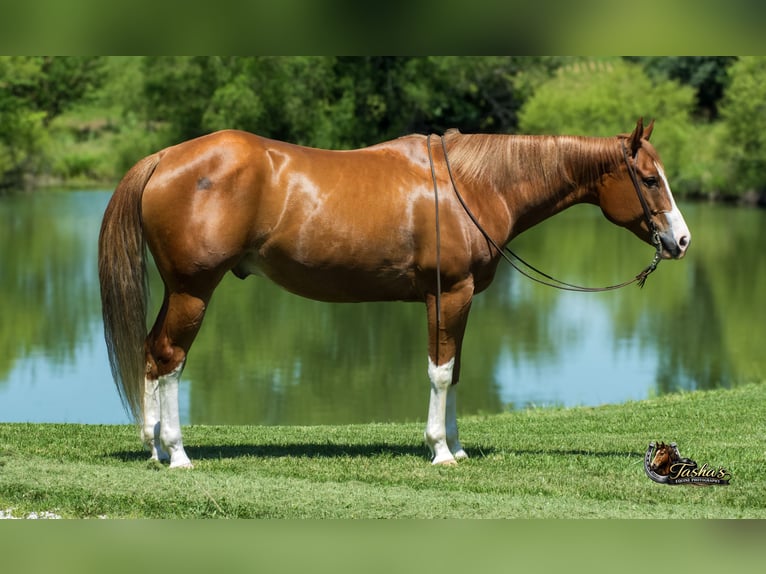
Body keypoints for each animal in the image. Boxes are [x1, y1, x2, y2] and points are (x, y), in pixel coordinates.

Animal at [98, 118, 690, 468]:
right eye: (650, 179)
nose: (681, 240)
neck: (472, 186)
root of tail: (164, 158)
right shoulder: (449, 294)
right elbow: (440, 372)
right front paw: (440, 451)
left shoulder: (457, 299)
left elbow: (455, 371)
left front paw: (457, 447)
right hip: (194, 290)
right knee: (171, 359)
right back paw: (177, 454)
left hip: (178, 291)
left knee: (151, 354)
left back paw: (153, 448)